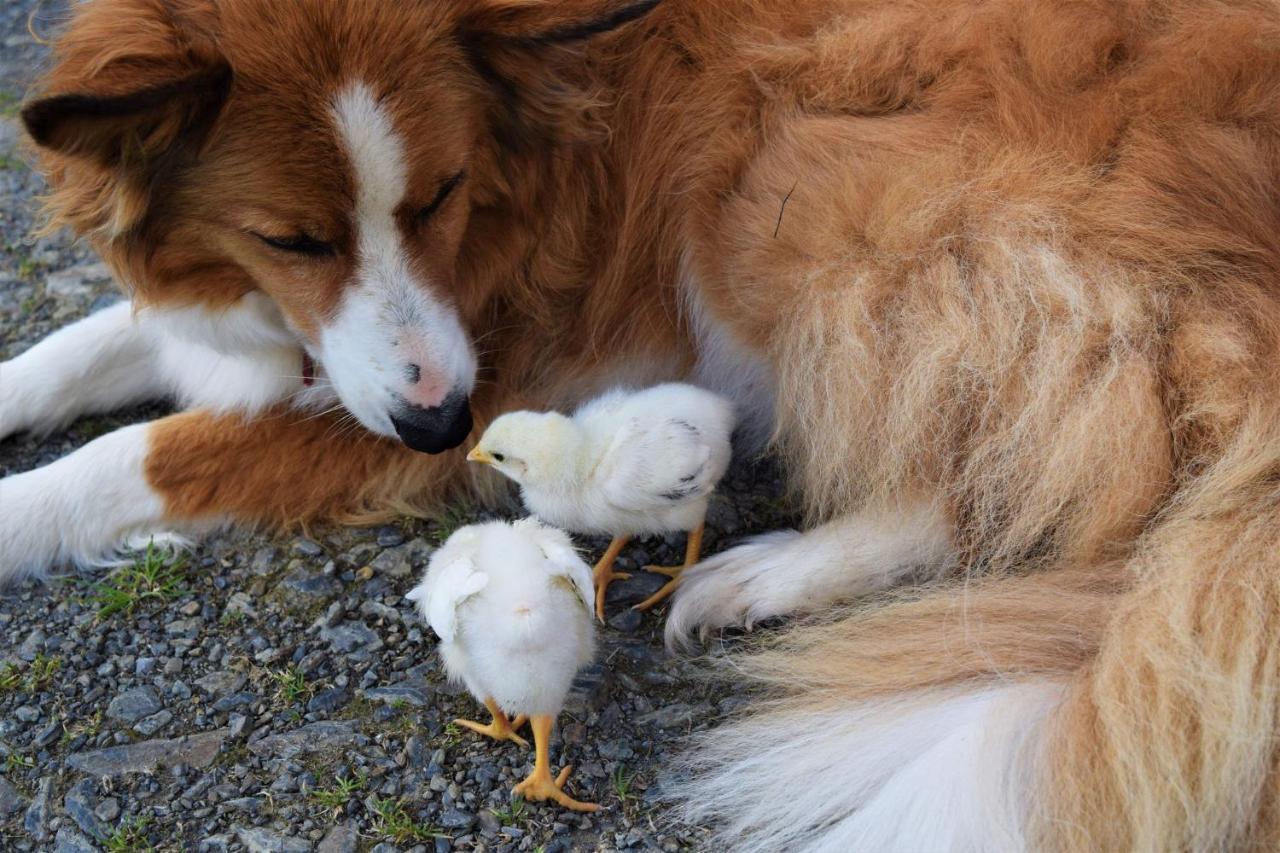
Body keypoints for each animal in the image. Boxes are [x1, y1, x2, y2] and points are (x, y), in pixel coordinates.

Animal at [2, 0, 1280, 845]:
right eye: (293, 239)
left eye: (439, 195)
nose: (441, 424)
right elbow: (73, 353)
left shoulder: (489, 362)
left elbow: (128, 457)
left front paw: (25, 508)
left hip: (792, 174)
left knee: (981, 477)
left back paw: (761, 577)